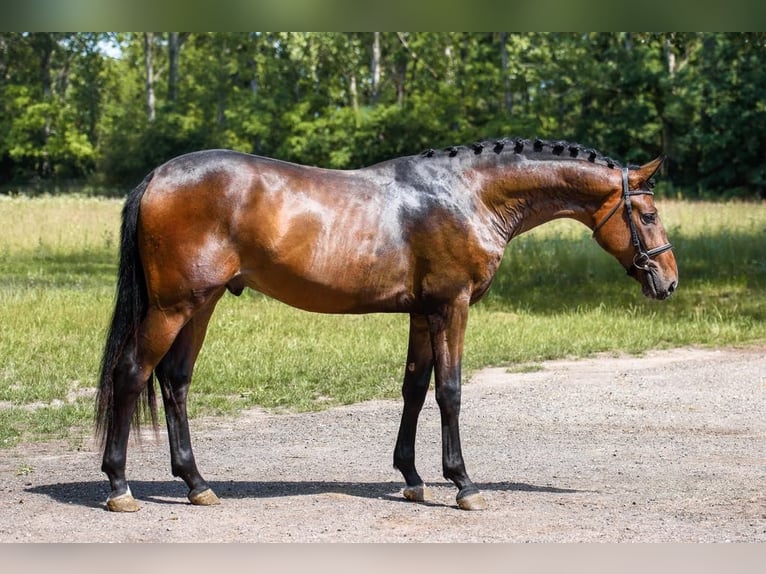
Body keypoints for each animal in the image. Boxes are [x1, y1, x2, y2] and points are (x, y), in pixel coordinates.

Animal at [94, 138, 680, 512]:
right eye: (648, 216)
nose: (669, 282)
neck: (468, 194)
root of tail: (158, 176)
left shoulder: (422, 313)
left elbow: (414, 390)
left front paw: (413, 479)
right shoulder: (451, 307)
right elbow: (449, 391)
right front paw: (463, 484)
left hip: (203, 303)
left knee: (175, 381)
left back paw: (196, 483)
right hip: (173, 306)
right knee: (131, 374)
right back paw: (120, 486)